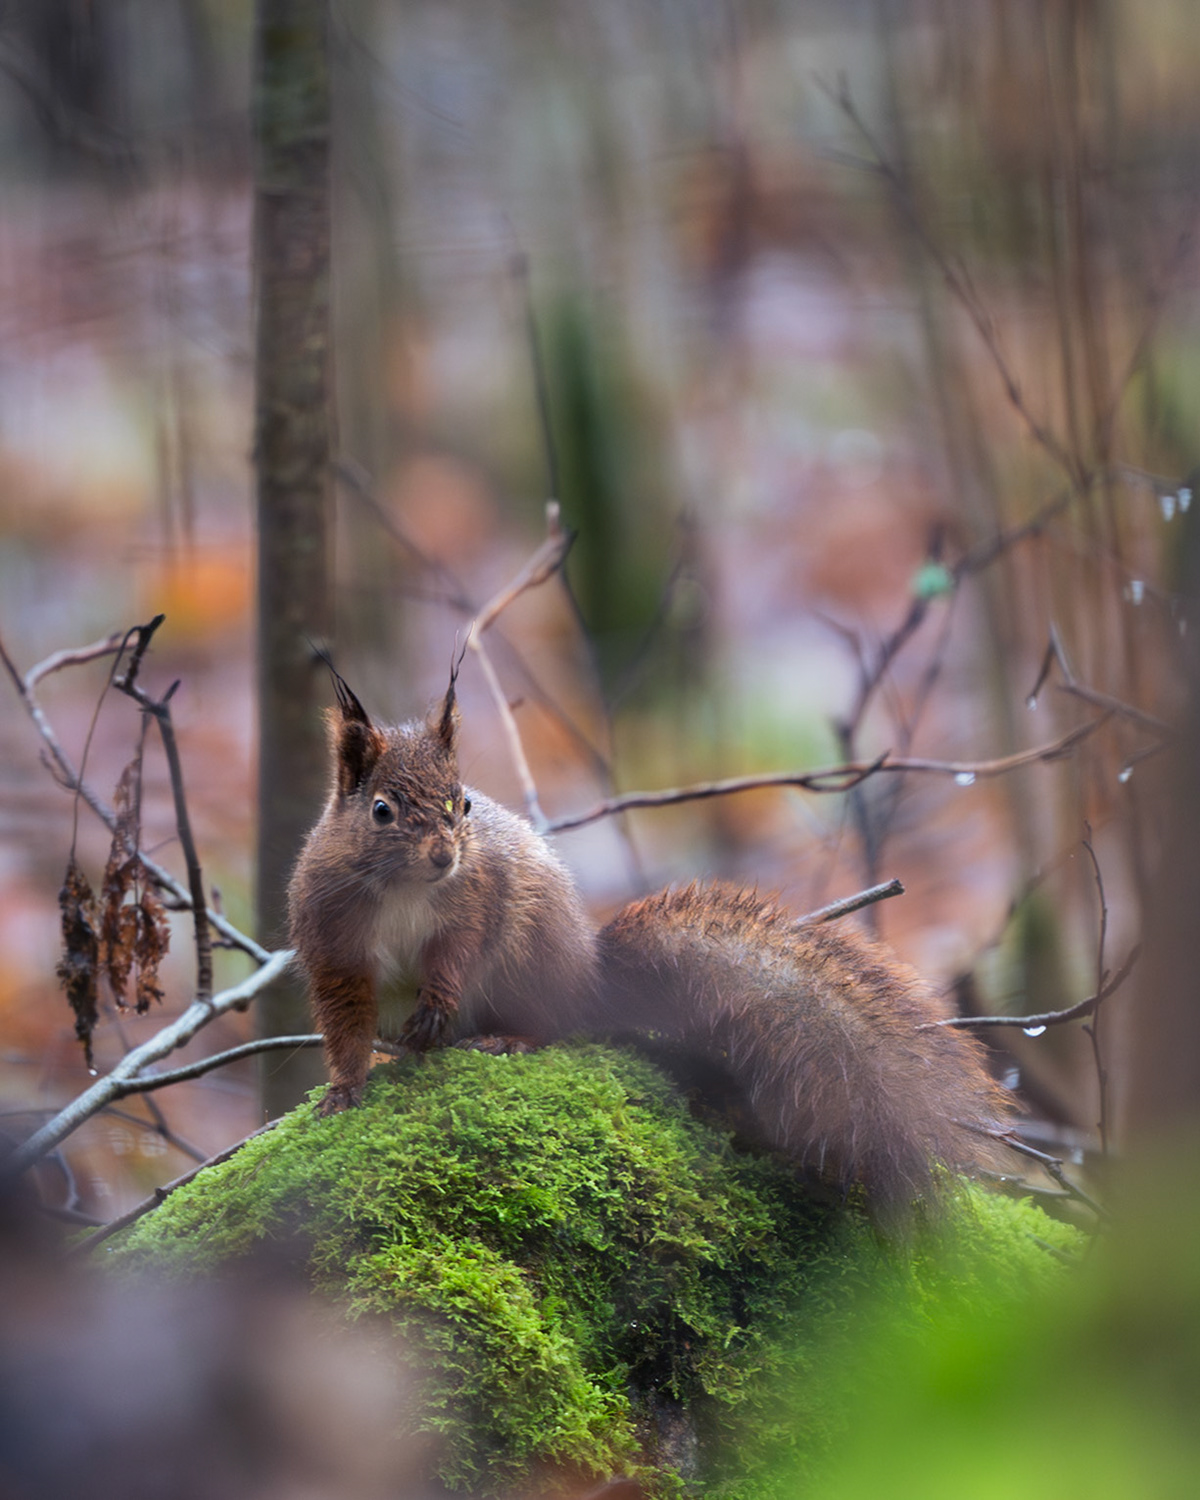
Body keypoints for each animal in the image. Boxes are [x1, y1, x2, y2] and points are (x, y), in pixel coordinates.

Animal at [288, 669, 1015, 1221]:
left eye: (462, 803)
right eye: (381, 810)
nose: (443, 856)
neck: (407, 889)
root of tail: (592, 981)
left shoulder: (475, 897)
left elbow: (458, 950)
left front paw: (435, 1001)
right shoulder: (332, 937)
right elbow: (345, 1015)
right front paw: (344, 1088)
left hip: (530, 951)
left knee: (557, 1026)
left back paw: (505, 1038)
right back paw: (406, 1053)